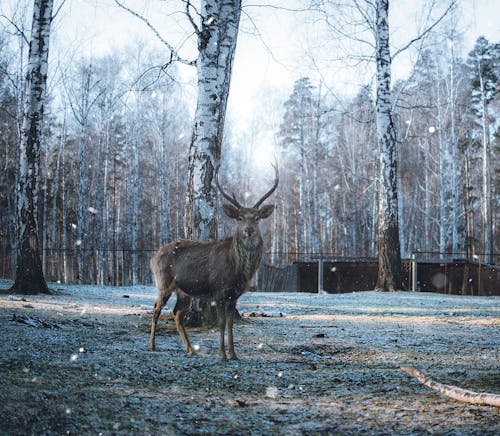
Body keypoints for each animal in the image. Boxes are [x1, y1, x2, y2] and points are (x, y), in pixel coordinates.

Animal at [150, 164, 280, 362]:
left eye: (257, 217)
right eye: (240, 218)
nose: (249, 230)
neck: (239, 270)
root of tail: (153, 257)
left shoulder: (235, 295)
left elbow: (231, 323)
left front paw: (234, 354)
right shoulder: (219, 290)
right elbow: (221, 323)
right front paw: (222, 354)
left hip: (184, 291)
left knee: (177, 313)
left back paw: (190, 349)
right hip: (163, 281)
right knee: (156, 309)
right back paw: (152, 345)